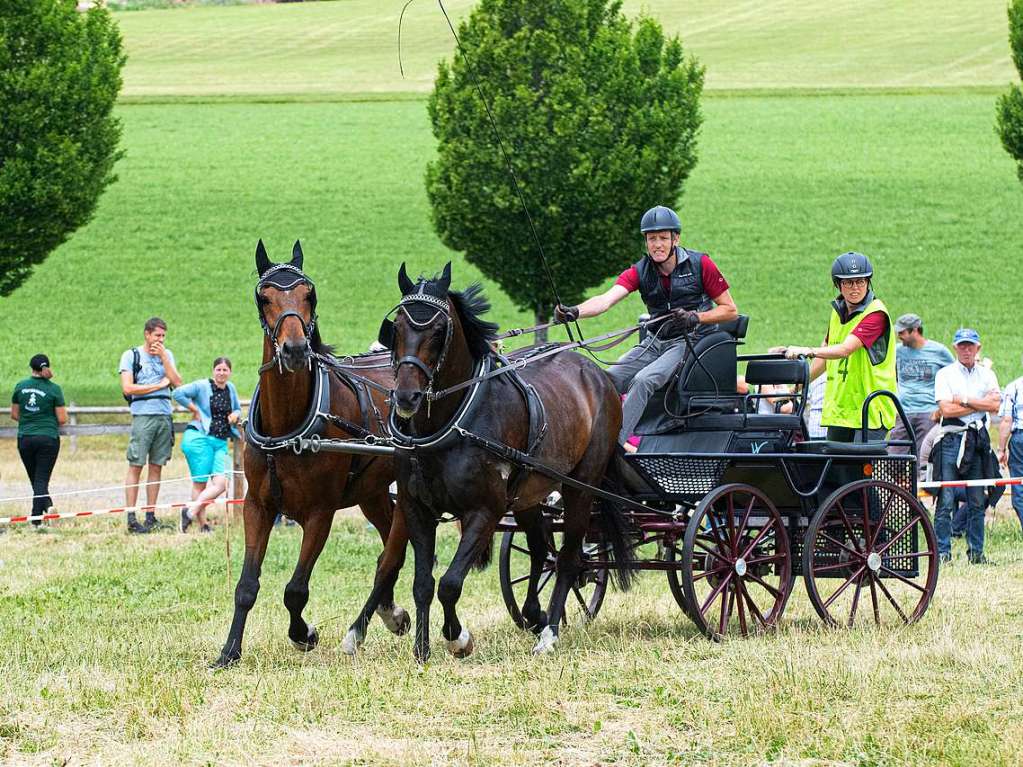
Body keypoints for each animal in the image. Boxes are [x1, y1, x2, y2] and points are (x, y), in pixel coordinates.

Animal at [210, 243, 407, 670]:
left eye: (309, 294)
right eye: (263, 297)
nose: (296, 349)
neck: (288, 423)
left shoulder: (320, 512)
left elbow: (295, 589)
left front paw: (305, 634)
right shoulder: (258, 506)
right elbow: (246, 585)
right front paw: (229, 651)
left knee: (394, 553)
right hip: (372, 493)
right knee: (389, 548)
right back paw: (390, 613)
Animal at [347, 261, 634, 662]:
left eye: (439, 329)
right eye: (399, 325)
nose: (407, 396)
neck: (450, 423)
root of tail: (595, 373)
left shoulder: (485, 509)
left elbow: (450, 583)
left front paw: (458, 638)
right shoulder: (416, 507)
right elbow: (423, 582)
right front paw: (422, 650)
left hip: (580, 487)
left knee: (567, 558)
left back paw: (550, 632)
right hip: (529, 493)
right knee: (540, 550)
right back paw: (534, 613)